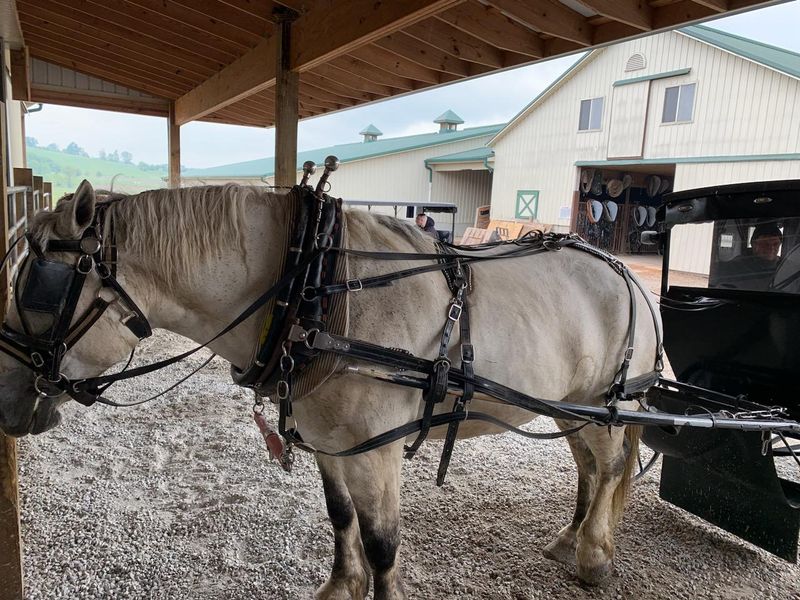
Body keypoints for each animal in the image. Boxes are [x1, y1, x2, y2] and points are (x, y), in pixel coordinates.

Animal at [0, 180, 661, 599]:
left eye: (37, 287)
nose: (5, 399)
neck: (312, 288)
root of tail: (625, 274)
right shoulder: (327, 440)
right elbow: (339, 515)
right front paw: (342, 584)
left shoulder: (375, 451)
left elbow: (382, 545)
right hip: (573, 408)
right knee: (589, 466)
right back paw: (571, 537)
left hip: (608, 403)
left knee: (610, 466)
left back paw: (594, 554)